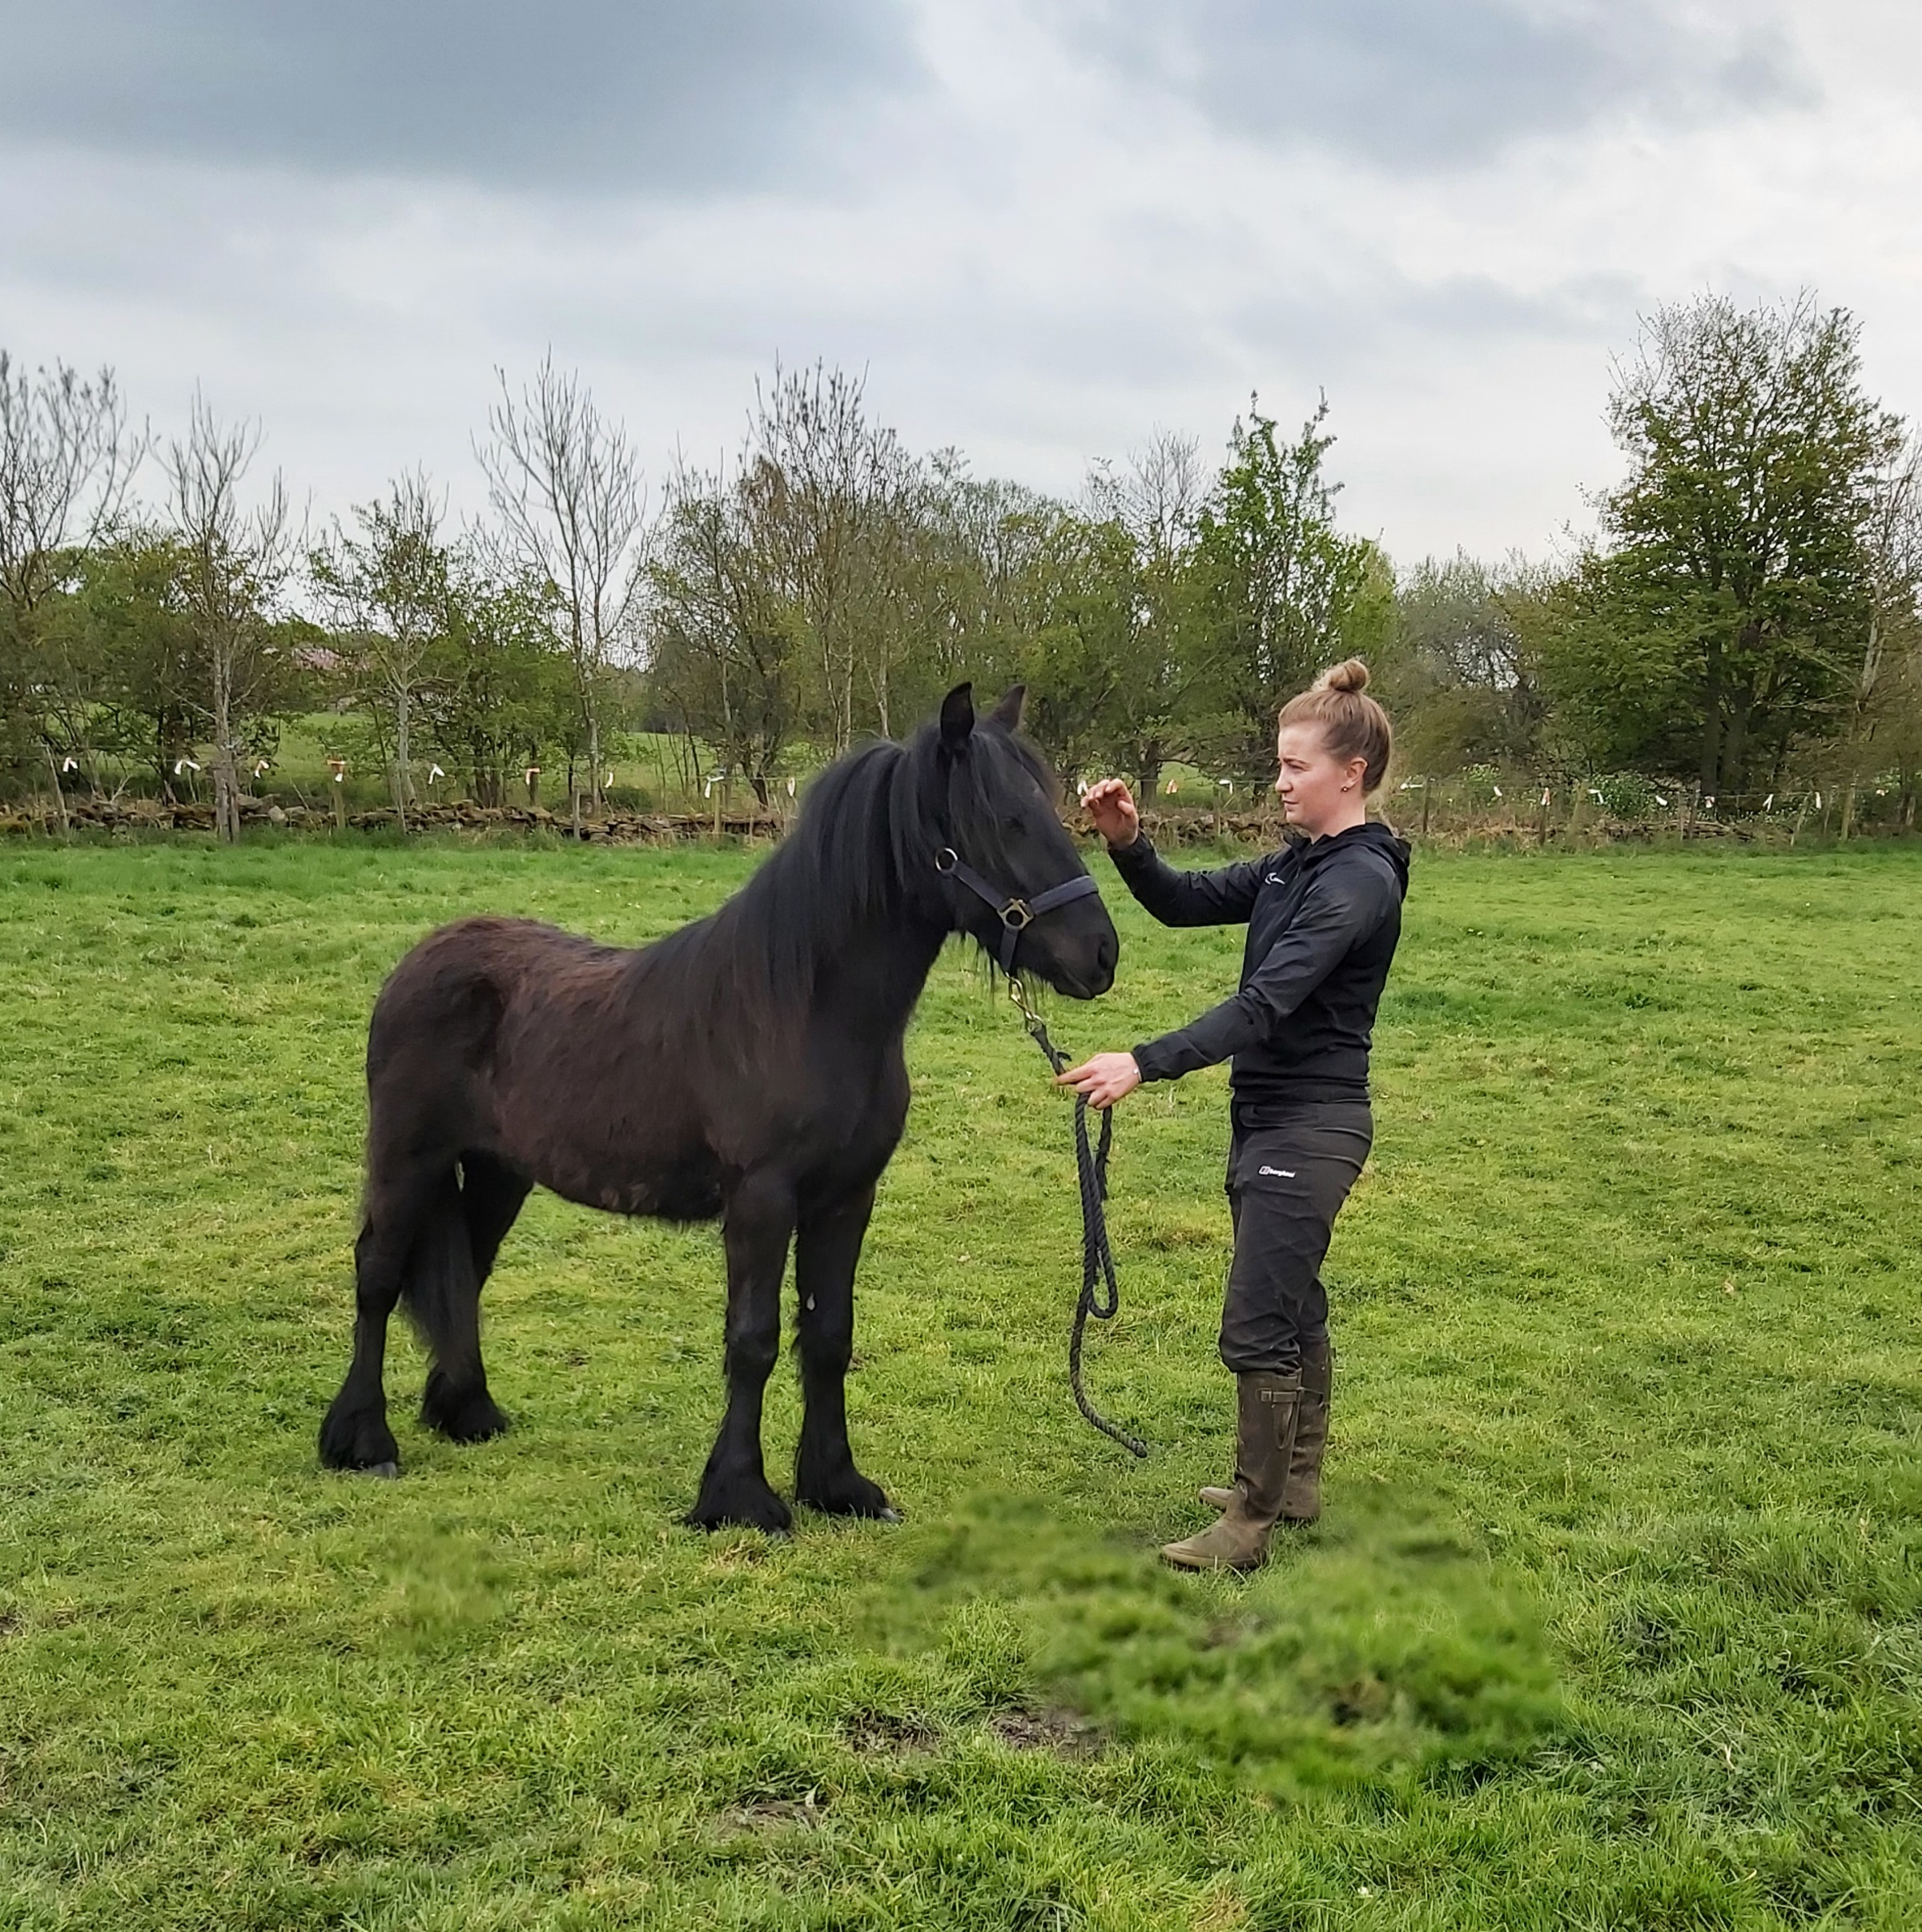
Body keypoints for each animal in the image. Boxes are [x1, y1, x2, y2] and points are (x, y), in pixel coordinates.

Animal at [322, 688, 1120, 1530]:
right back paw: (364, 1441)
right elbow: (754, 1340)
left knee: (466, 1273)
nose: (1102, 953)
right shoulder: (762, 1199)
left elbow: (829, 1334)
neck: (803, 1009)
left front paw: (837, 1485)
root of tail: (416, 963)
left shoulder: (846, 1196)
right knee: (377, 1275)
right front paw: (739, 1496)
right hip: (408, 1157)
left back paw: (468, 1412)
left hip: (499, 1171)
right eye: (1004, 819)